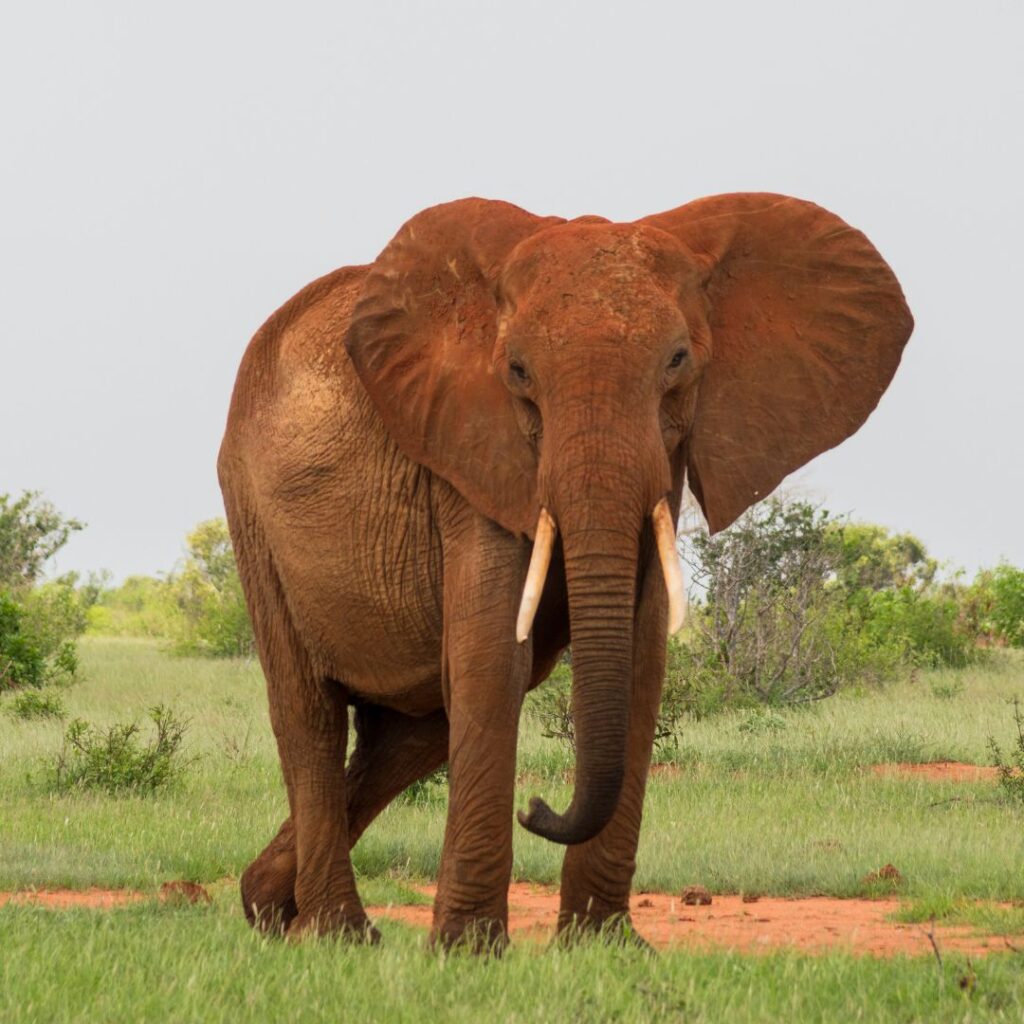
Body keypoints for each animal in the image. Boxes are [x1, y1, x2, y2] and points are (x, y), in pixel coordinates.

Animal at [218, 193, 912, 949]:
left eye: (678, 361)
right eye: (518, 372)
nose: (537, 807)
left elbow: (639, 660)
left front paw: (604, 948)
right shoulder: (469, 452)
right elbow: (495, 658)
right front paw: (468, 952)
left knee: (411, 735)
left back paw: (267, 906)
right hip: (251, 510)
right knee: (310, 714)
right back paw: (335, 935)